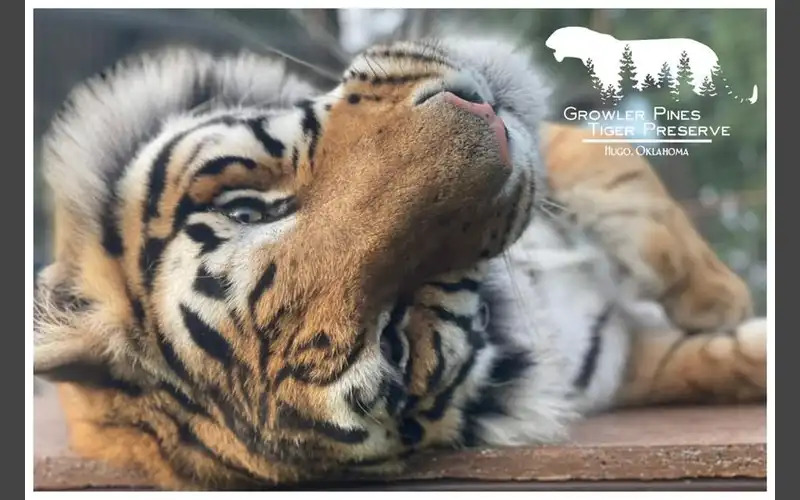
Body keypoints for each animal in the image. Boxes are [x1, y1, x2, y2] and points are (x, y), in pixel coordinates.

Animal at [33, 35, 767, 490]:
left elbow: (611, 167)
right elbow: (713, 363)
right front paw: (727, 312)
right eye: (394, 338)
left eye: (247, 212)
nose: (488, 126)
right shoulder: (615, 361)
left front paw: (716, 296)